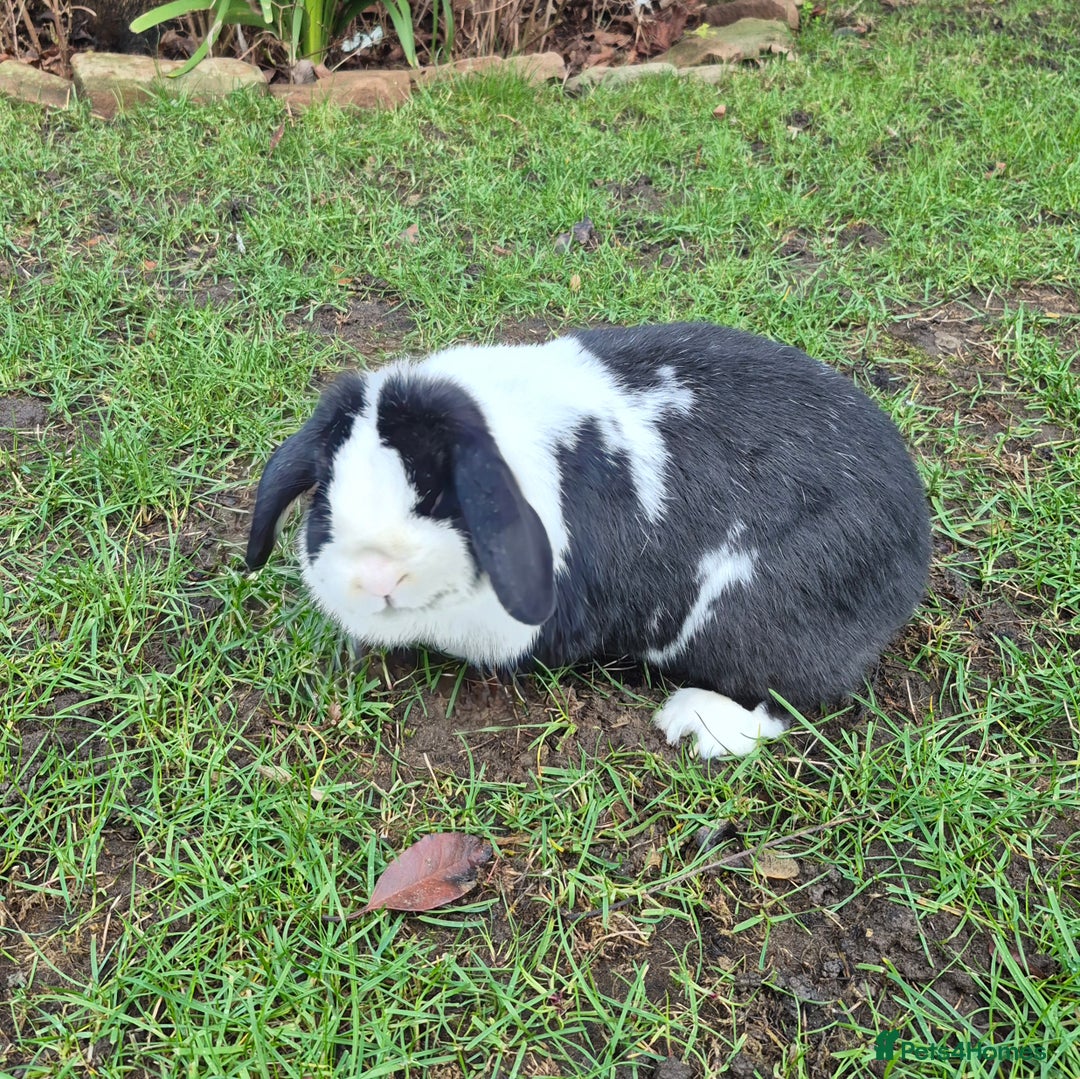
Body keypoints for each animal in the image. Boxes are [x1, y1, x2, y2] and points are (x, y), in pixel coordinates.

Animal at [246, 322, 931, 758]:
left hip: (755, 618)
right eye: (324, 500)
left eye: (441, 498)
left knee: (797, 699)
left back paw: (695, 723)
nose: (376, 577)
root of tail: (912, 542)